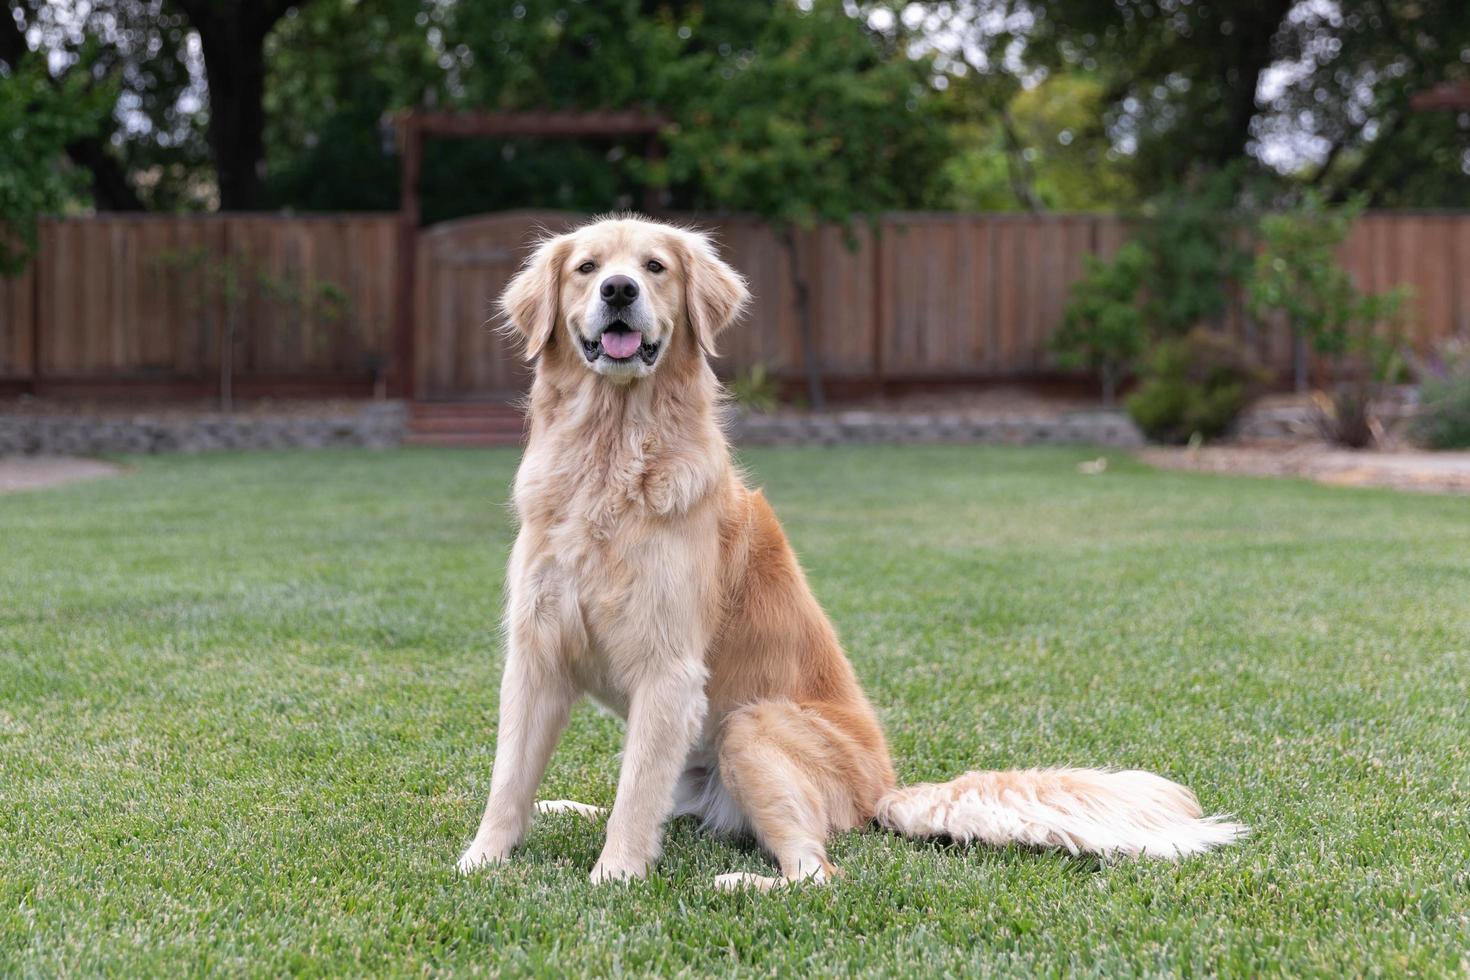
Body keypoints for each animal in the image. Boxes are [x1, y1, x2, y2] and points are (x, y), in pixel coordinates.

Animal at [455, 218, 1240, 893]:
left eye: (655, 267)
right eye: (587, 268)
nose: (619, 291)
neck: (611, 453)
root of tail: (883, 790)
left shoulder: (668, 668)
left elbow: (634, 795)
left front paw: (614, 876)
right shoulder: (536, 652)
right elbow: (510, 780)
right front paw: (482, 860)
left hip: (750, 725)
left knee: (815, 871)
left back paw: (741, 881)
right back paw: (572, 809)